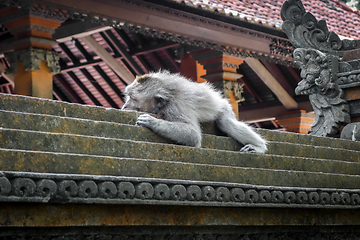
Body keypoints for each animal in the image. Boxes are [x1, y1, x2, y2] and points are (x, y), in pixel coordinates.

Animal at [121, 70, 268, 153]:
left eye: (133, 99)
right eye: (128, 96)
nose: (124, 107)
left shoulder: (175, 106)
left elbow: (193, 135)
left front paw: (152, 121)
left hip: (224, 107)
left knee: (226, 123)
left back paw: (260, 147)